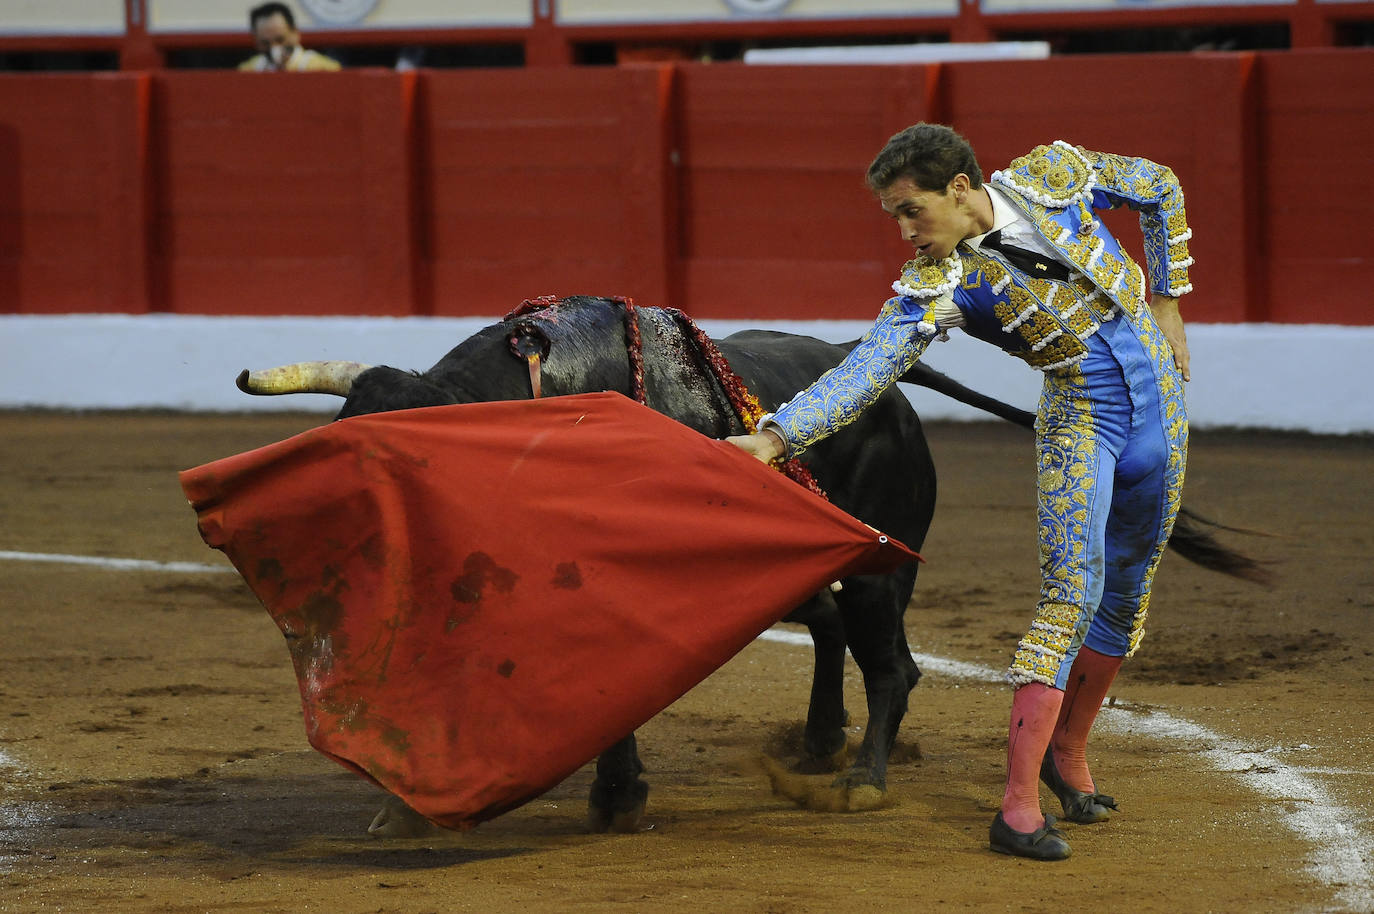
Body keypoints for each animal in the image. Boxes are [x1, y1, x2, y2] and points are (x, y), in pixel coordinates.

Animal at [239, 294, 1264, 835]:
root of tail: (879, 380)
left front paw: (617, 795)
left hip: (886, 571)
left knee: (891, 663)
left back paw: (862, 779)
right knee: (832, 632)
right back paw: (817, 741)